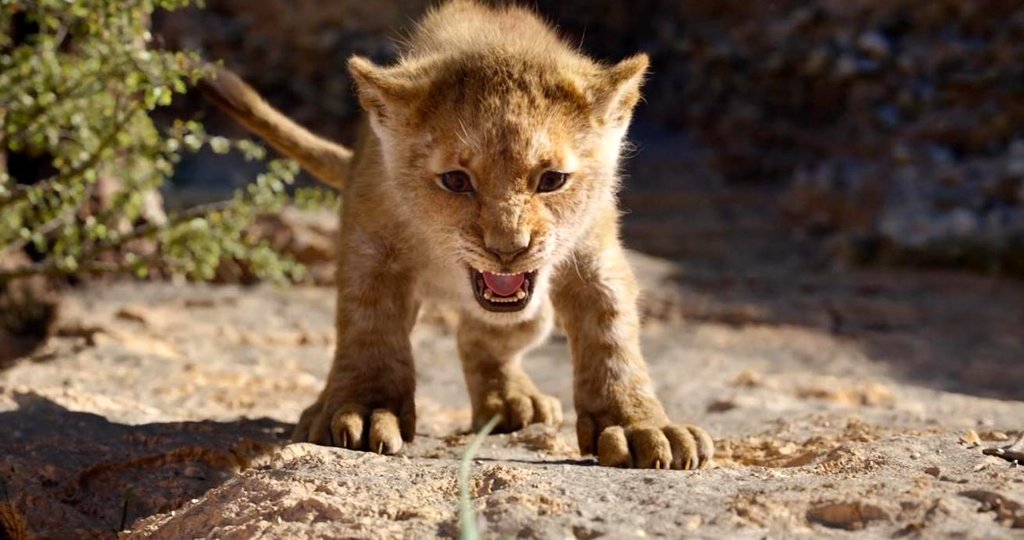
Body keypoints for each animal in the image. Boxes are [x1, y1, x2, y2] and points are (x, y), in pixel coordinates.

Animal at [200, 0, 713, 469]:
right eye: (455, 180)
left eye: (551, 180)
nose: (508, 250)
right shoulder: (372, 248)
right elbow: (370, 327)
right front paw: (363, 409)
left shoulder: (594, 255)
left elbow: (611, 336)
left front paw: (639, 425)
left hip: (532, 315)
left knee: (482, 336)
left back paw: (512, 401)